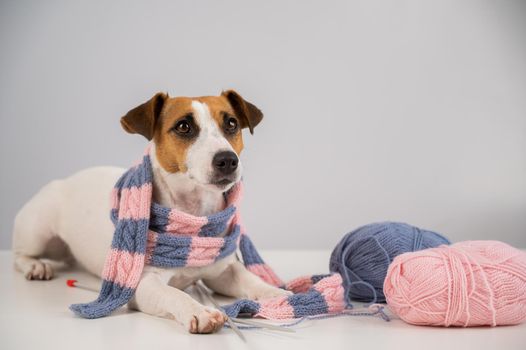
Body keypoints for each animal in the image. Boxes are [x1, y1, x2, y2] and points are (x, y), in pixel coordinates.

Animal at [12, 90, 290, 334]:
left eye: (231, 123)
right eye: (183, 126)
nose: (227, 160)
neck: (193, 215)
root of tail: (65, 180)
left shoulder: (223, 272)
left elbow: (251, 280)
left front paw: (278, 295)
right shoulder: (141, 284)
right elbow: (173, 293)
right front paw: (199, 311)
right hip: (37, 230)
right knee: (19, 255)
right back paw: (36, 266)